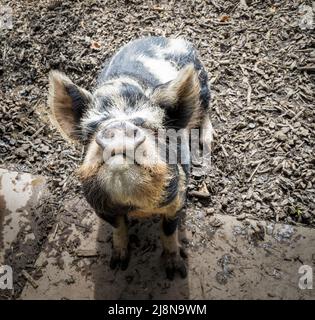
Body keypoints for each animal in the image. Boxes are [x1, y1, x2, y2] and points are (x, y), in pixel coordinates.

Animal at [48, 36, 212, 278]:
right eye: (91, 130)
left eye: (150, 126)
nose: (117, 128)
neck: (134, 204)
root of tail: (166, 38)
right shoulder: (101, 207)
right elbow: (119, 228)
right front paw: (117, 264)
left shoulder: (179, 197)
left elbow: (168, 231)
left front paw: (176, 271)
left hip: (203, 84)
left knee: (205, 109)